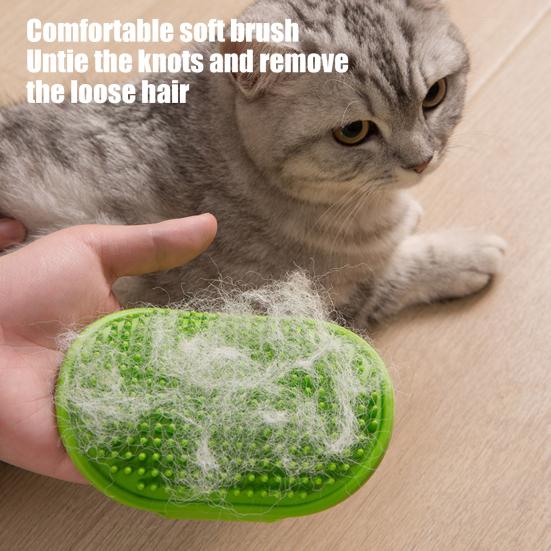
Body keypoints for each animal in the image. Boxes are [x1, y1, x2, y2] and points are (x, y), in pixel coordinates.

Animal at [0, 0, 506, 327]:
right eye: (353, 132)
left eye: (435, 94)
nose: (422, 161)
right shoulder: (276, 300)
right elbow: (390, 273)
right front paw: (464, 253)